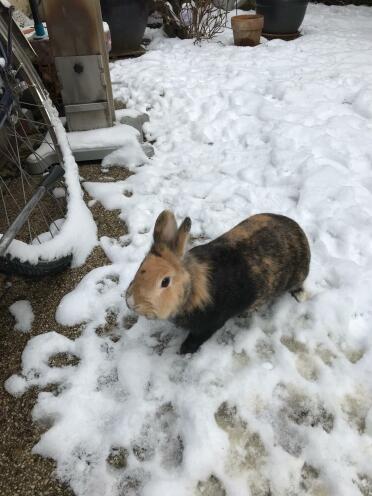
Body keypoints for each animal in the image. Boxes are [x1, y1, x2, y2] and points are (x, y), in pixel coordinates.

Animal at [125, 211, 310, 354]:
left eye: (165, 282)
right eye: (141, 265)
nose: (131, 302)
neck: (193, 288)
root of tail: (299, 231)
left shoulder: (210, 324)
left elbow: (196, 338)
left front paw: (184, 350)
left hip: (297, 276)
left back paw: (300, 295)